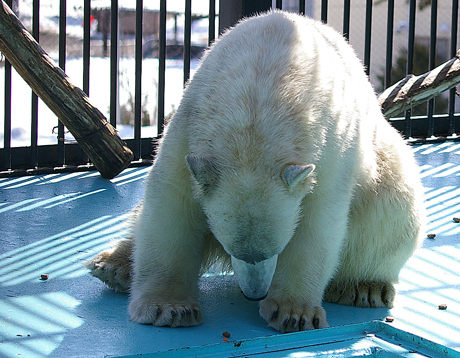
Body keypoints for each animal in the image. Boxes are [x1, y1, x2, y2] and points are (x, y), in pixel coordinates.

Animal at [86, 10, 424, 332]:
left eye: (278, 248)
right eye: (231, 246)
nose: (255, 293)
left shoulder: (333, 145)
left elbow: (319, 220)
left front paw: (292, 313)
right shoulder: (188, 125)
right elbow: (172, 202)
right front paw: (168, 308)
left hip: (385, 168)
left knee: (391, 210)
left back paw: (363, 287)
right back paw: (114, 266)